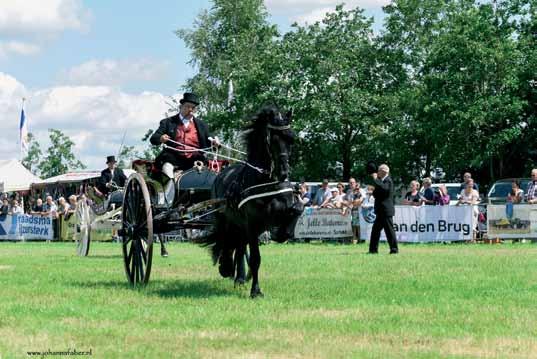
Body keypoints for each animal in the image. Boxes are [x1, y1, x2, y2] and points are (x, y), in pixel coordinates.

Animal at [201, 106, 302, 298]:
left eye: (291, 139)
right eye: (273, 139)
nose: (284, 172)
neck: (266, 182)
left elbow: (297, 210)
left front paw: (282, 233)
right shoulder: (252, 223)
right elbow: (255, 258)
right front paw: (256, 291)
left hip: (241, 226)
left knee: (239, 246)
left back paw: (239, 277)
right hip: (225, 219)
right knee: (226, 241)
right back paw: (226, 267)